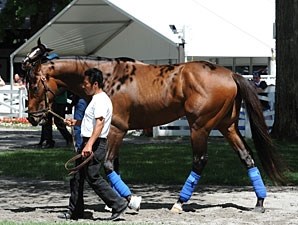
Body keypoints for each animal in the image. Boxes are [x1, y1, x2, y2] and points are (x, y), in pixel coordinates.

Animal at [21, 38, 286, 213]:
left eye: (33, 84)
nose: (33, 116)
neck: (107, 77)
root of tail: (230, 74)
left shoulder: (116, 129)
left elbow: (109, 164)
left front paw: (130, 200)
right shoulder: (114, 132)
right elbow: (114, 165)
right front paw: (114, 203)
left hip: (199, 127)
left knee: (200, 161)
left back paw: (179, 202)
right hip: (227, 126)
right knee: (246, 156)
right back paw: (259, 201)